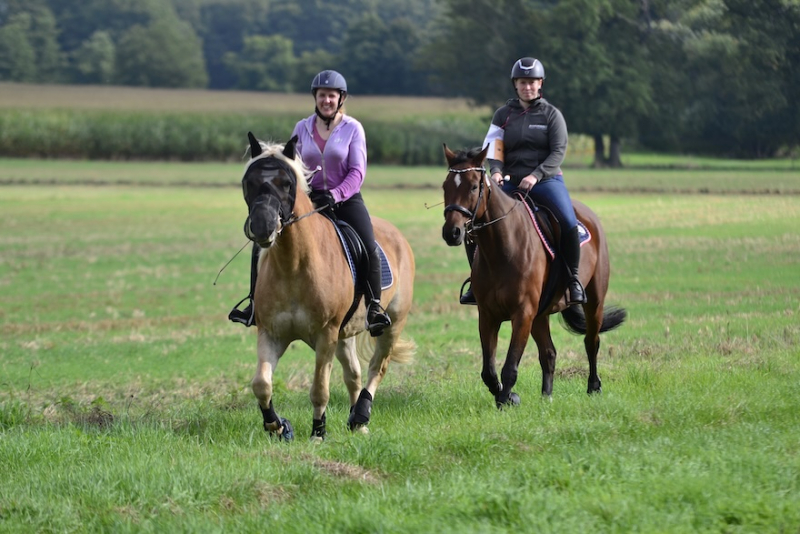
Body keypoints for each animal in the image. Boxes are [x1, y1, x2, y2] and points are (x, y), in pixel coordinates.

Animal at [239, 133, 416, 440]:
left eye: (286, 183)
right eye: (248, 181)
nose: (263, 226)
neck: (293, 264)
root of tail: (398, 236)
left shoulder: (326, 334)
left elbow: (319, 389)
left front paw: (318, 433)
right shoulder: (271, 333)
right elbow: (261, 384)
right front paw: (278, 426)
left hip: (392, 324)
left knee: (377, 368)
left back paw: (361, 414)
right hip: (345, 335)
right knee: (354, 374)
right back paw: (357, 421)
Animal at [440, 144, 628, 408]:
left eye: (474, 187)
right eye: (445, 186)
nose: (452, 232)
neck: (503, 249)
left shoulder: (523, 314)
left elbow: (510, 366)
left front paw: (506, 400)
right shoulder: (488, 315)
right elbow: (488, 370)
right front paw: (505, 395)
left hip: (594, 301)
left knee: (591, 342)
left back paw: (593, 386)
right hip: (541, 314)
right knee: (549, 353)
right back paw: (546, 396)